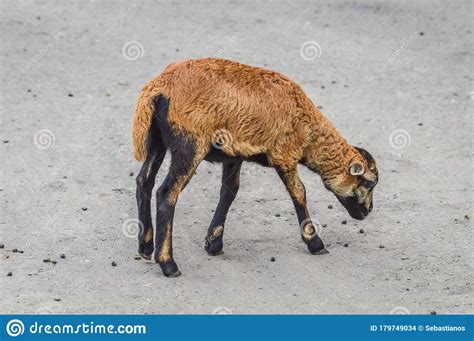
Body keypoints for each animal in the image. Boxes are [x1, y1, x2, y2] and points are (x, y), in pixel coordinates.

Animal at [130, 57, 378, 276]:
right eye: (368, 182)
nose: (368, 211)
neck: (310, 134)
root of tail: (159, 87)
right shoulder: (284, 155)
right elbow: (299, 192)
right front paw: (315, 242)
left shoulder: (234, 156)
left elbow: (229, 192)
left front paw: (214, 243)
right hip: (189, 143)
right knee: (166, 194)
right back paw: (168, 264)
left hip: (156, 139)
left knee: (144, 181)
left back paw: (145, 247)